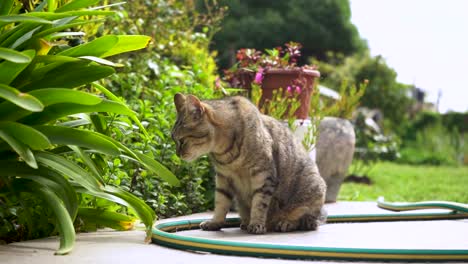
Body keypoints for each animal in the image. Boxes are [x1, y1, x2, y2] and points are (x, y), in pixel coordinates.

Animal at [171, 93, 326, 233]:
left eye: (182, 141)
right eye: (174, 140)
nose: (177, 154)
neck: (224, 153)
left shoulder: (263, 176)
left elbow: (259, 203)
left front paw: (257, 224)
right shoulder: (223, 177)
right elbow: (221, 203)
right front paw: (215, 222)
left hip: (312, 189)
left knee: (308, 219)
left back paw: (285, 222)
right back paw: (247, 223)